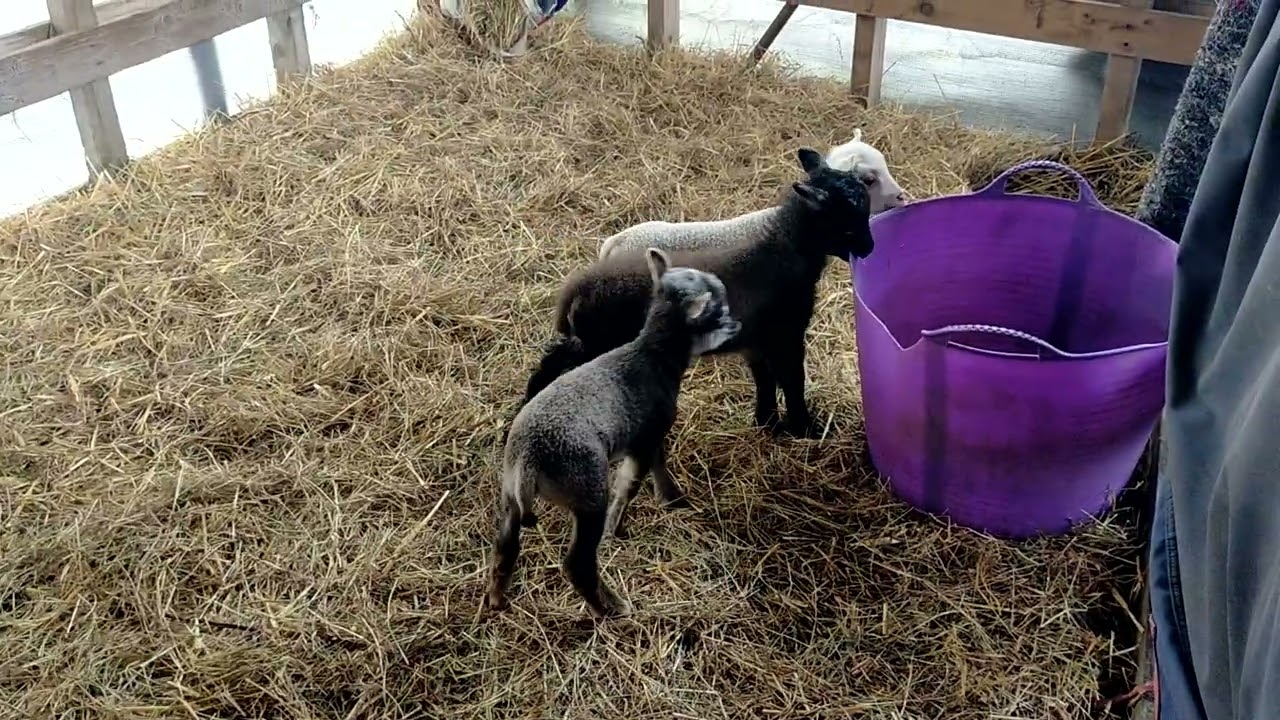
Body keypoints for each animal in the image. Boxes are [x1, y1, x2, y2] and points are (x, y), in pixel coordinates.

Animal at [484, 248, 742, 618]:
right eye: (717, 310)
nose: (737, 324)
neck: (651, 356)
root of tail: (528, 462)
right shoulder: (644, 438)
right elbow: (631, 484)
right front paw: (622, 527)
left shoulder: (647, 437)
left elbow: (652, 470)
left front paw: (667, 501)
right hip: (587, 491)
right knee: (578, 563)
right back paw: (612, 609)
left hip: (510, 497)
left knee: (505, 546)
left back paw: (496, 599)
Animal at [522, 147, 874, 439]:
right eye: (848, 223)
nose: (870, 249)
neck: (783, 247)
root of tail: (578, 288)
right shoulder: (785, 334)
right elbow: (792, 380)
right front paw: (806, 429)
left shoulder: (756, 341)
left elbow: (764, 380)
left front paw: (768, 424)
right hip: (601, 342)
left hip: (587, 340)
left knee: (552, 362)